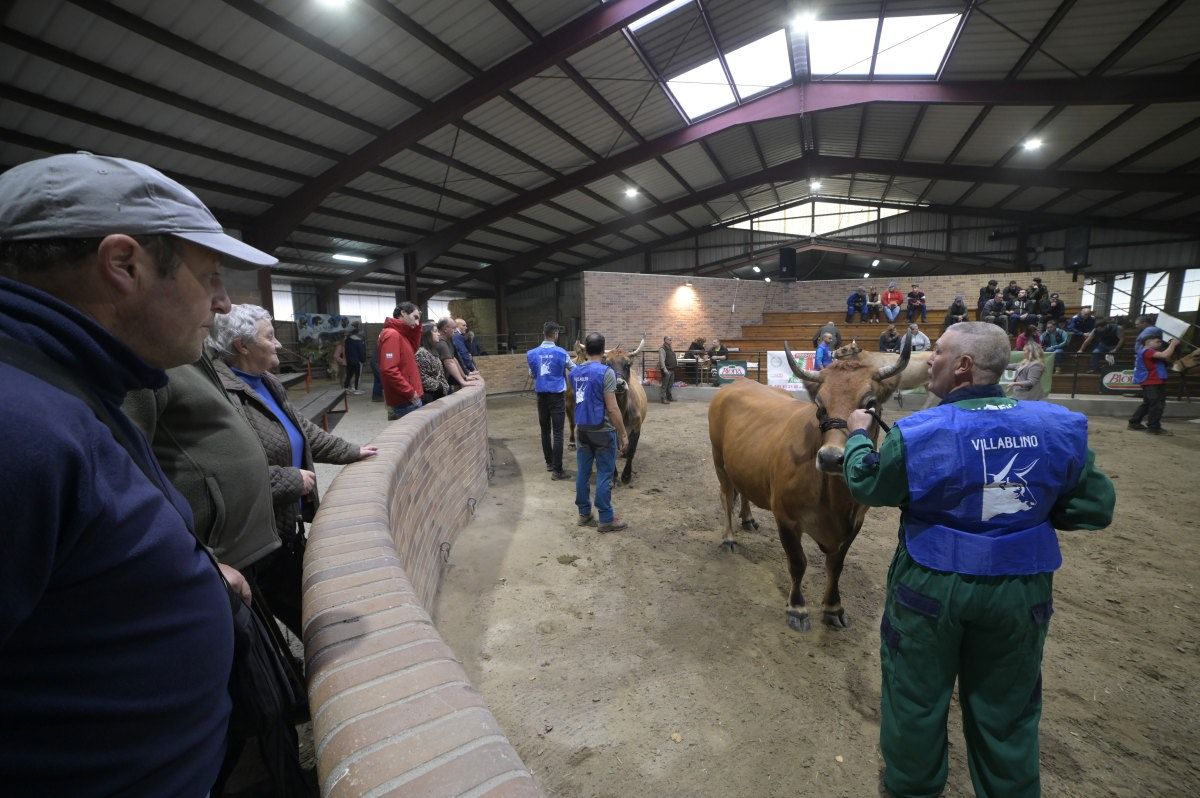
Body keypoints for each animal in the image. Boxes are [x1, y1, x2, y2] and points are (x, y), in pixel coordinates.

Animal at [700, 333, 907, 628]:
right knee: (727, 495)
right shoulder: (786, 517)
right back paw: (728, 537)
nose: (831, 458)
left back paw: (748, 519)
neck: (834, 499)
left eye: (870, 404)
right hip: (718, 457)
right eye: (819, 406)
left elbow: (836, 566)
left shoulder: (856, 522)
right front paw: (797, 607)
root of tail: (739, 384)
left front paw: (833, 607)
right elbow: (798, 562)